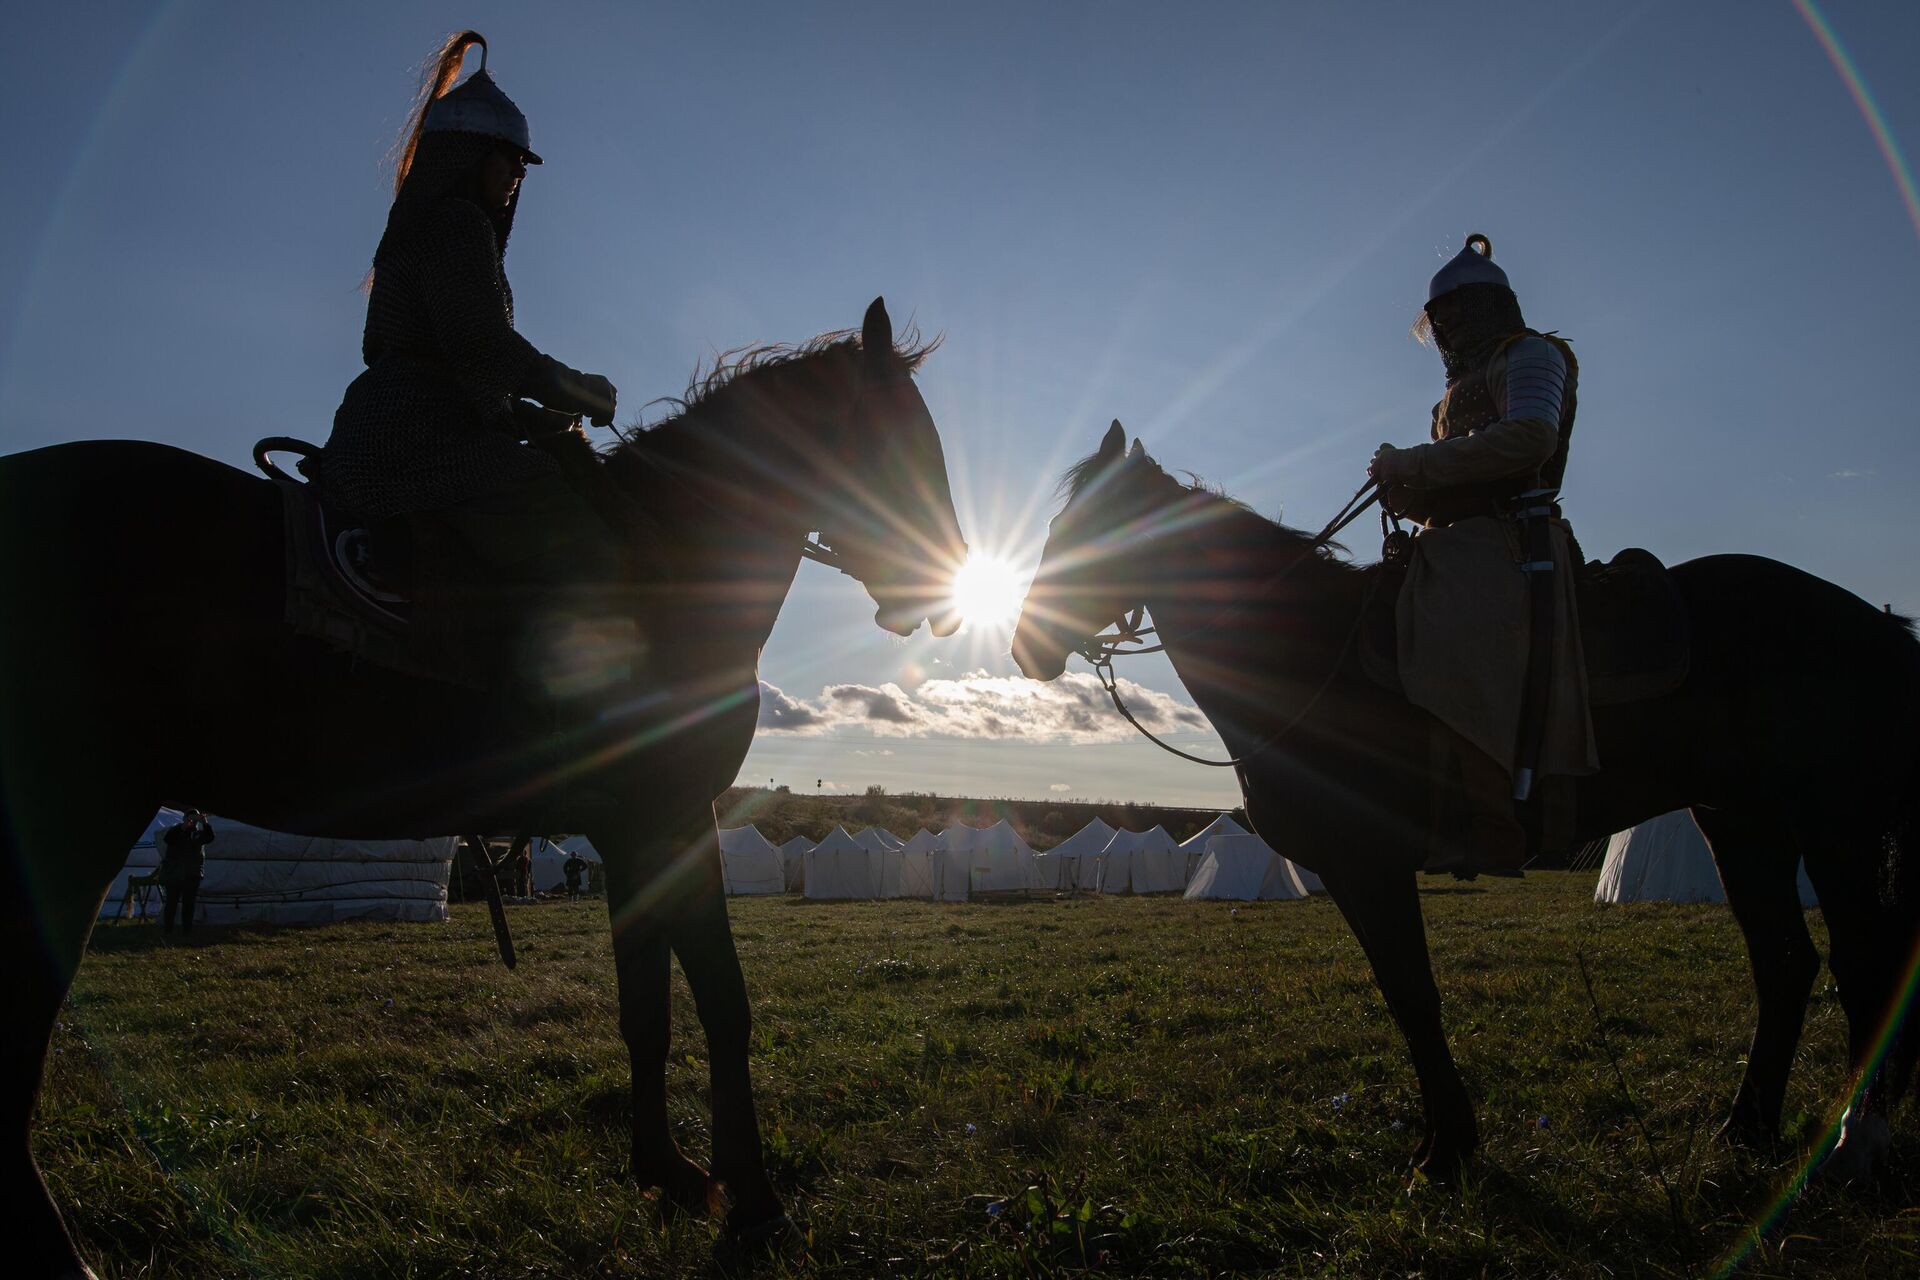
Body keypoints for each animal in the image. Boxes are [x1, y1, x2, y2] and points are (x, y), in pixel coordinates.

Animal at [0, 297, 960, 1274]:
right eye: (902, 440)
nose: (938, 587)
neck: (671, 558)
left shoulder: (630, 833)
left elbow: (646, 1012)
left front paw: (666, 1172)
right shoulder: (670, 817)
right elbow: (724, 1004)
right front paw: (755, 1203)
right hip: (74, 813)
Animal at [1013, 427, 1912, 1189]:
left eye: (1101, 525)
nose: (1027, 647)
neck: (1308, 655)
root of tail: (1876, 623)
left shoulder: (1372, 864)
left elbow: (1414, 995)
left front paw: (1445, 1152)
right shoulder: (1355, 872)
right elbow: (1403, 995)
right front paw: (1448, 1141)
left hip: (1832, 828)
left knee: (1865, 965)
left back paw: (1854, 1147)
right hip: (1741, 823)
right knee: (1785, 964)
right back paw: (1746, 1130)